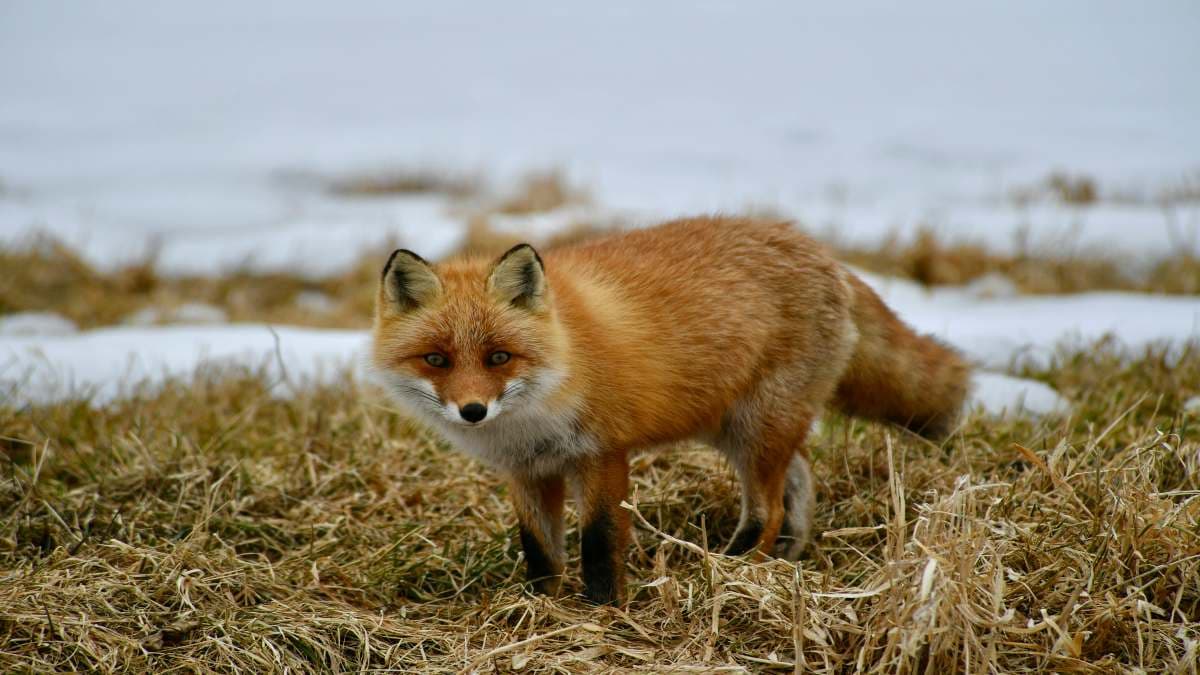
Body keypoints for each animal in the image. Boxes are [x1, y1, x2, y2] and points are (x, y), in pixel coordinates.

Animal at [371, 216, 969, 605]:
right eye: (437, 359)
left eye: (499, 356)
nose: (473, 411)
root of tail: (820, 252)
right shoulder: (528, 470)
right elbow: (539, 551)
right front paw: (538, 608)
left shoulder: (601, 453)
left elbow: (599, 543)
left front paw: (601, 613)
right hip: (735, 429)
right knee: (798, 480)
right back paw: (782, 560)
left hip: (756, 429)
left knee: (769, 508)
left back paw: (729, 570)